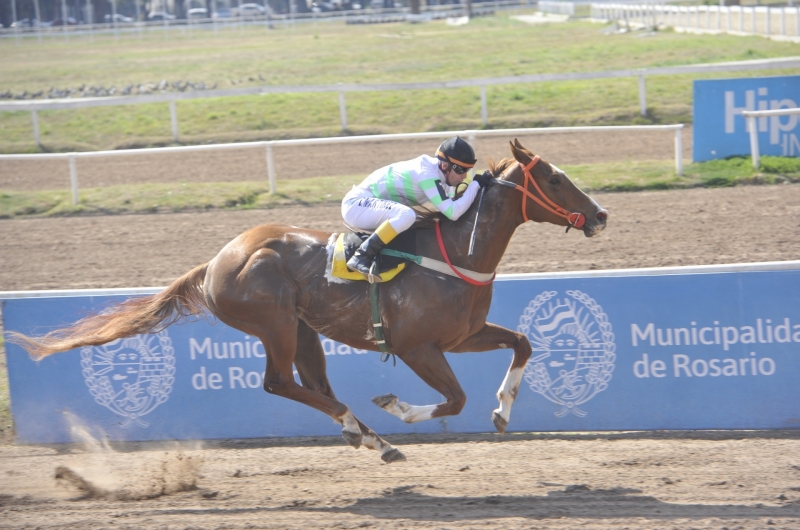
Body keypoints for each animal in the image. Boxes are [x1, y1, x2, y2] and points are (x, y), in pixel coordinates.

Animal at [9, 139, 608, 462]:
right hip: (273, 322)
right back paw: (362, 428)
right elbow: (454, 400)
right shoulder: (418, 347)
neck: (459, 251)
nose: (601, 215)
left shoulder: (462, 337)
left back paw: (369, 438)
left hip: (303, 329)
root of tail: (216, 261)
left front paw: (503, 411)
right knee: (280, 384)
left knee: (314, 385)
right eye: (555, 179)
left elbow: (524, 343)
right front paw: (398, 406)